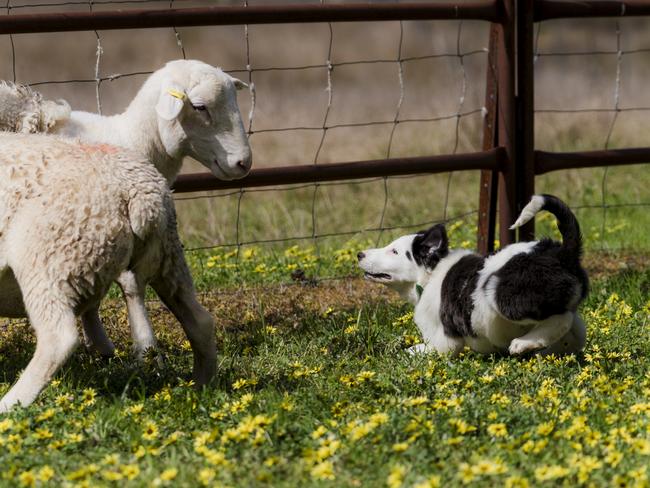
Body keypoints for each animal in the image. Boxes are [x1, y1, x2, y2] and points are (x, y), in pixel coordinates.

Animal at [0, 60, 252, 358]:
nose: (243, 163)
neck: (134, 139)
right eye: (200, 107)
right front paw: (143, 346)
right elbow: (131, 286)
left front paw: (100, 344)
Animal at [0, 133, 215, 412]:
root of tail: (140, 192)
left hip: (48, 258)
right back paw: (201, 386)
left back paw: (11, 404)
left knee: (58, 338)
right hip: (169, 258)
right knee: (200, 321)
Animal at [360, 196, 588, 356]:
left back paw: (522, 344)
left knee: (562, 319)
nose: (359, 254)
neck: (430, 276)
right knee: (575, 332)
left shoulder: (444, 341)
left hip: (504, 294)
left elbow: (421, 350)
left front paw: (407, 352)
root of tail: (560, 253)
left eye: (394, 251)